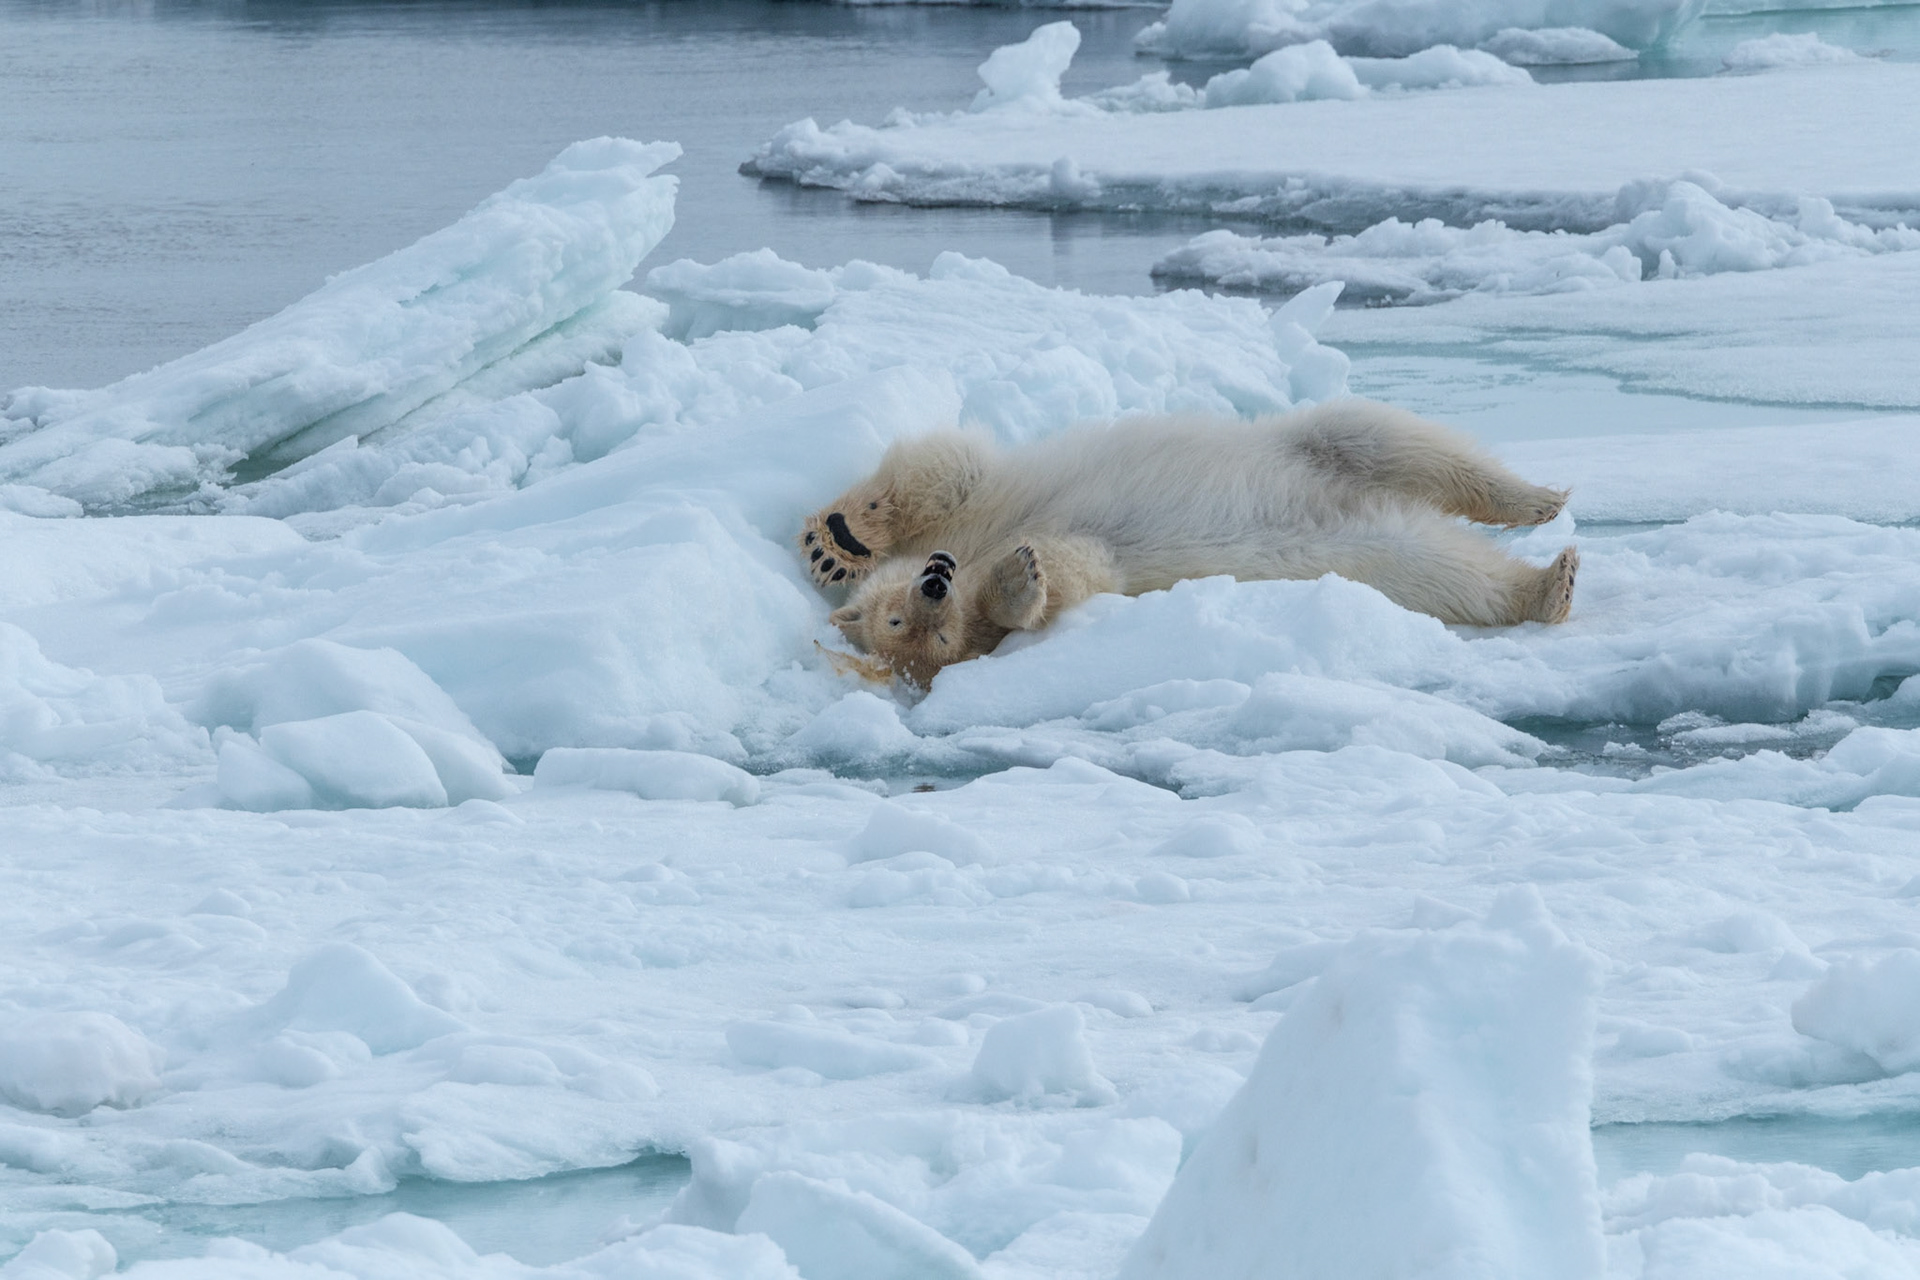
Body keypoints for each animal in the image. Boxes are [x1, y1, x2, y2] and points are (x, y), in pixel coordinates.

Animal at [800, 399, 1577, 688]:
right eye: (906, 627)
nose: (938, 580)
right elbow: (1077, 566)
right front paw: (1022, 578)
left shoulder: (985, 505)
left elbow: (945, 467)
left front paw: (834, 541)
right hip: (1367, 553)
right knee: (1439, 567)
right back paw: (1550, 585)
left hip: (1309, 445)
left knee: (1383, 437)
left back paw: (1537, 500)